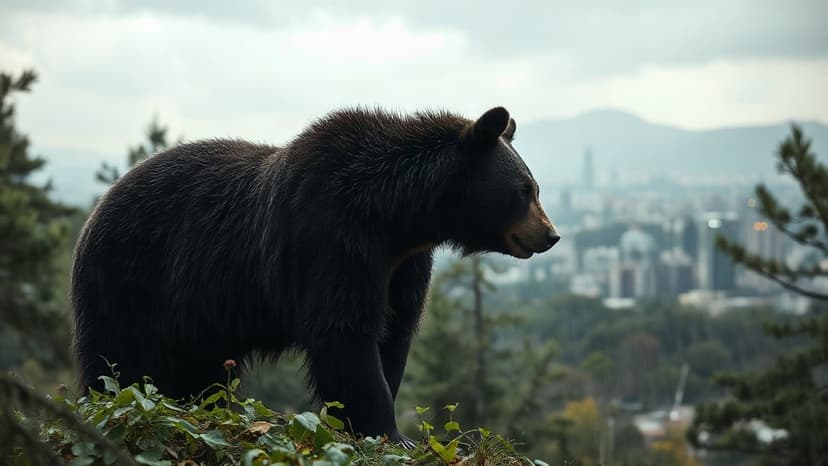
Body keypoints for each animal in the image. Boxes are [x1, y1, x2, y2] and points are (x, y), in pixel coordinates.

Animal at [71, 106, 559, 445]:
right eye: (524, 191)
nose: (551, 235)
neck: (397, 217)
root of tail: (97, 207)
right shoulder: (330, 236)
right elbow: (344, 333)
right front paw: (387, 429)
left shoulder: (403, 267)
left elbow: (394, 333)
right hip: (130, 278)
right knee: (115, 358)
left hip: (197, 316)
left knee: (200, 370)